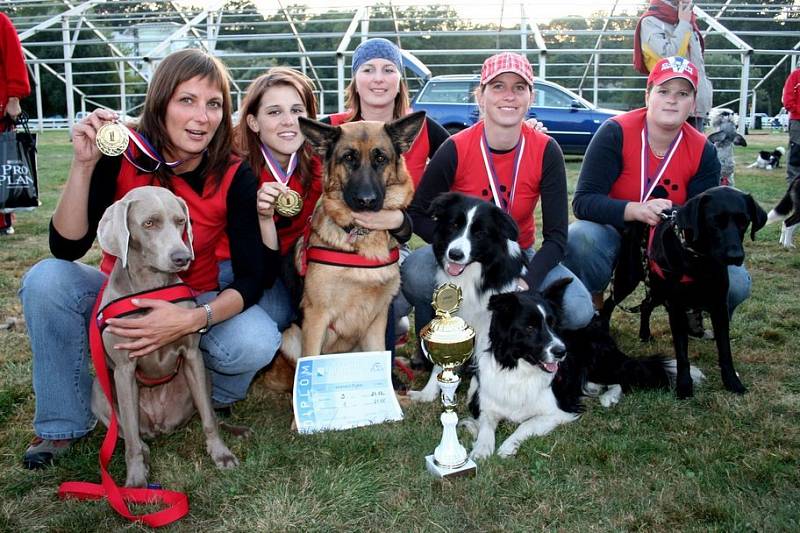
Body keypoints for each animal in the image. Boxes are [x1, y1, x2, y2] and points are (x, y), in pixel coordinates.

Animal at [93, 186, 236, 486]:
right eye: (149, 223)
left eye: (180, 221)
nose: (182, 258)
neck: (151, 290)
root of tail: (158, 425)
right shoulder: (124, 370)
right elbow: (131, 440)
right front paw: (135, 481)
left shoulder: (193, 356)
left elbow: (208, 419)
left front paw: (221, 453)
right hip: (100, 391)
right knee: (132, 435)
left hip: (203, 377)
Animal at [260, 111, 424, 390]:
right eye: (348, 158)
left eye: (380, 158)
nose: (366, 201)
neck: (360, 237)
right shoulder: (316, 318)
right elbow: (310, 360)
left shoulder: (377, 321)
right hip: (291, 337)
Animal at [600, 187, 768, 400]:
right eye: (714, 221)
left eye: (744, 221)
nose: (735, 256)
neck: (698, 260)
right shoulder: (677, 308)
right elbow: (682, 354)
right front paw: (684, 386)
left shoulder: (719, 307)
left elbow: (725, 350)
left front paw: (732, 382)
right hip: (627, 279)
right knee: (609, 304)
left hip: (656, 289)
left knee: (645, 305)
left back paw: (645, 334)